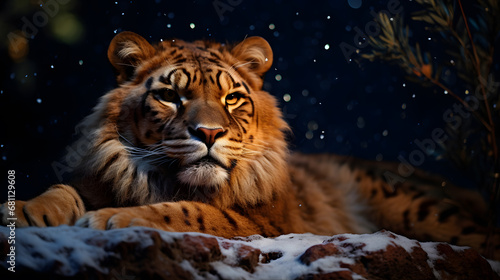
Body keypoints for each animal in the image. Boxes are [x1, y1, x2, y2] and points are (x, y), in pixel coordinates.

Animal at [0, 31, 500, 260]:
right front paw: (25, 210)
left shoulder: (273, 225)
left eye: (232, 99)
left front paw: (115, 218)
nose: (208, 134)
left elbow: (196, 212)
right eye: (170, 96)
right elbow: (62, 191)